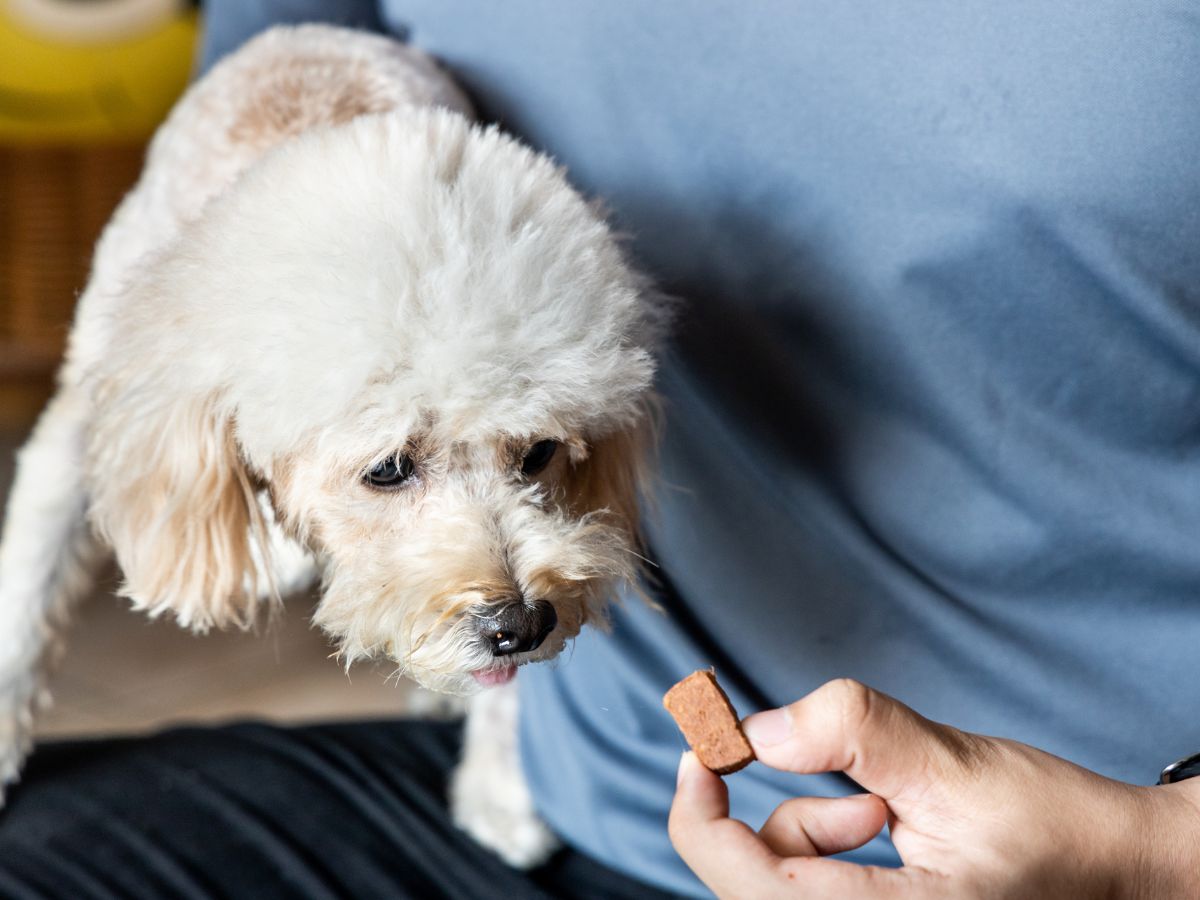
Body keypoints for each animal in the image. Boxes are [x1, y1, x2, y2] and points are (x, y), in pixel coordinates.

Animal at [0, 22, 667, 868]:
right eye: (388, 469)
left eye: (540, 452)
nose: (520, 626)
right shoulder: (91, 415)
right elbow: (26, 587)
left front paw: (501, 782)